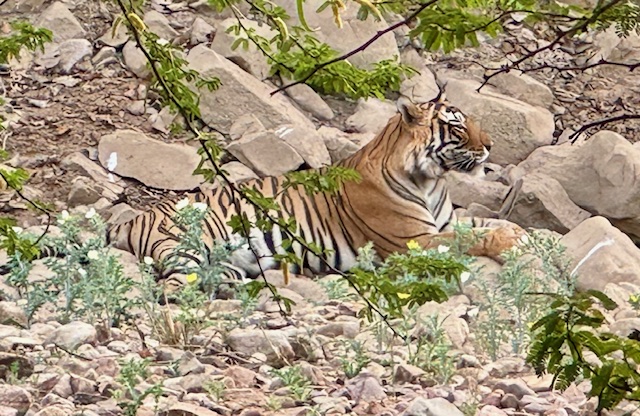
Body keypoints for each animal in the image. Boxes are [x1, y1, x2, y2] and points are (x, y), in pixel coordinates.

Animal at [107, 92, 525, 281]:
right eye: (457, 127)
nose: (491, 145)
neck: (430, 180)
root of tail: (135, 217)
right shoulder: (412, 242)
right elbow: (472, 238)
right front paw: (510, 242)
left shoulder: (443, 224)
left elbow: (486, 224)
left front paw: (519, 234)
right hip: (189, 247)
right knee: (178, 284)